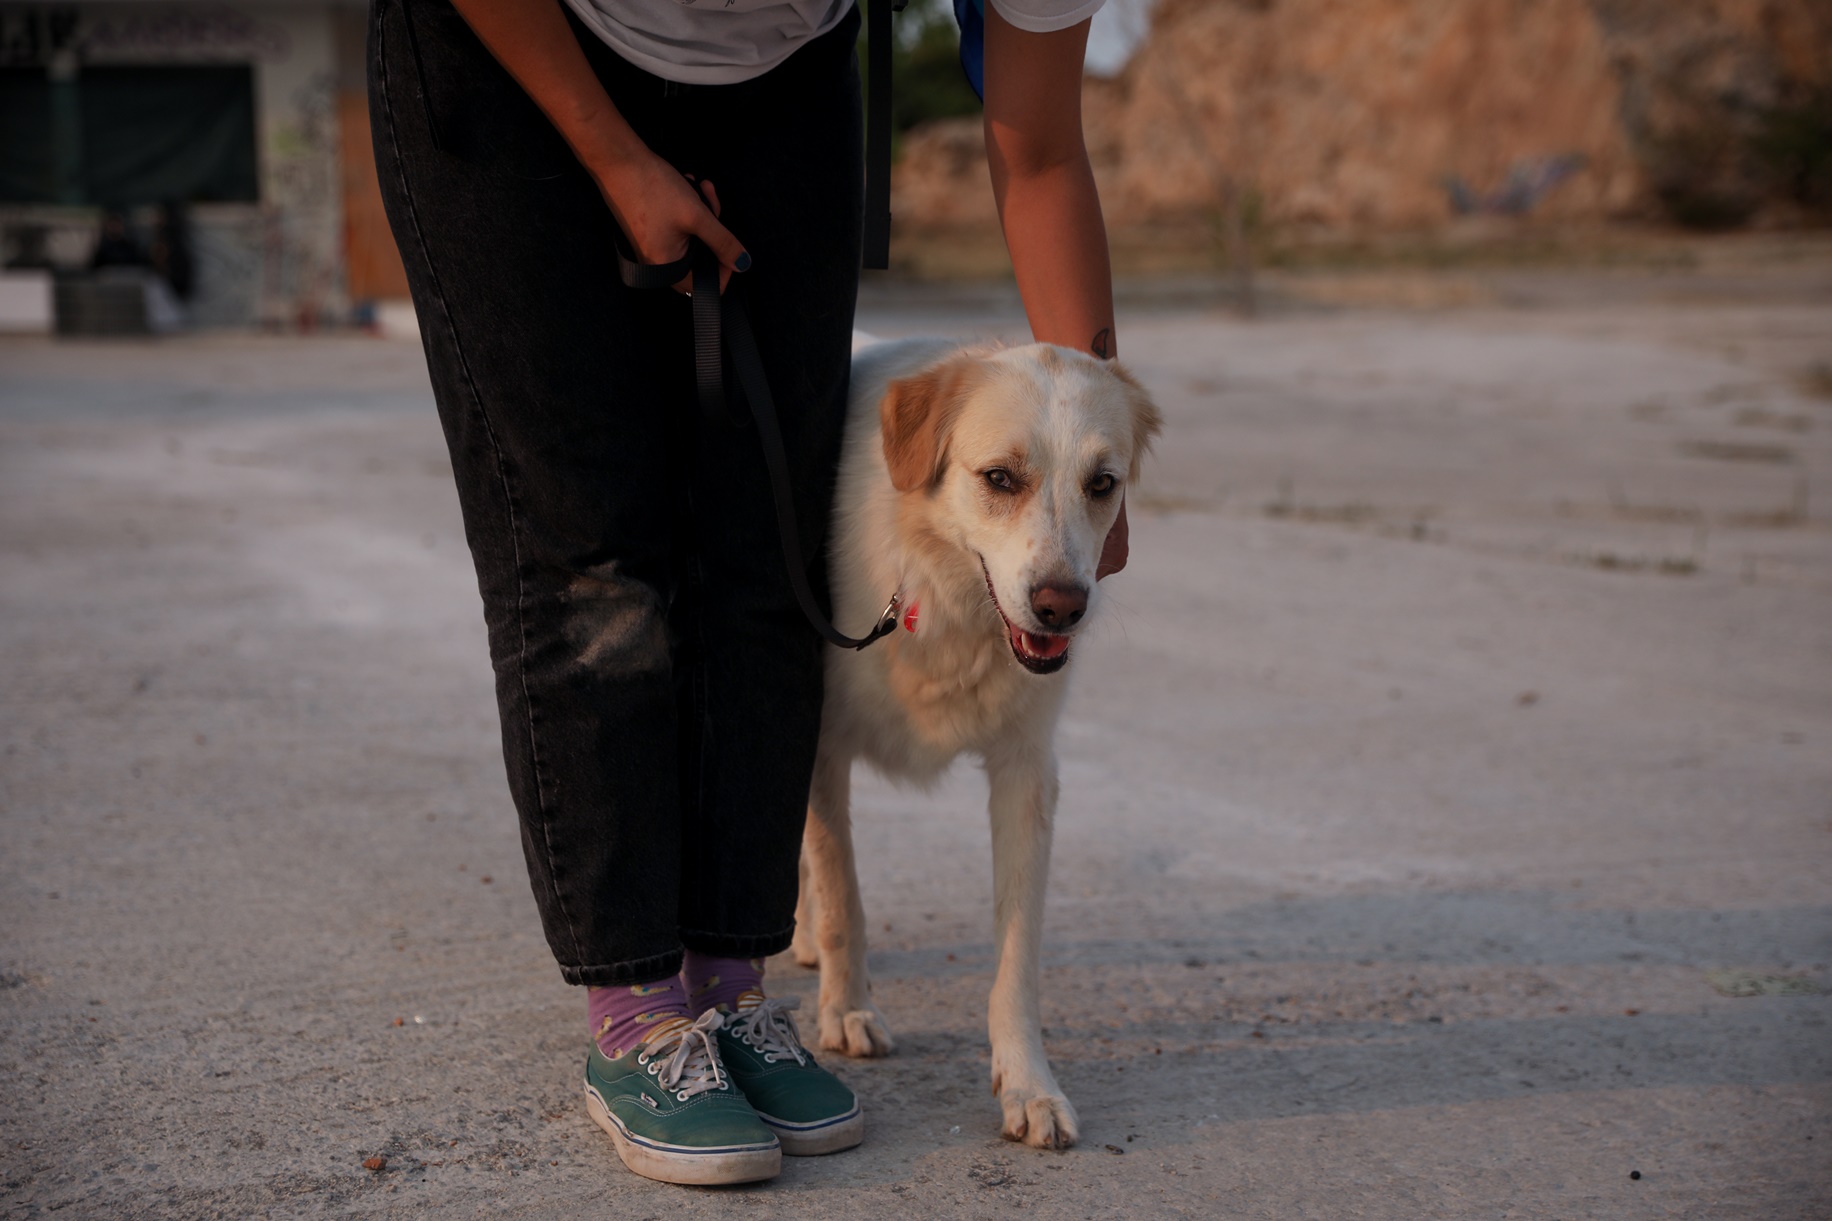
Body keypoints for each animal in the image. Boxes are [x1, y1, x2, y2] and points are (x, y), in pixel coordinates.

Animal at [787, 337, 1157, 1144]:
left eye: (1102, 484)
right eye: (999, 479)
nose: (1062, 607)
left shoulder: (1027, 774)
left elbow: (1016, 957)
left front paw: (1029, 1084)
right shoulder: (822, 747)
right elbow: (842, 895)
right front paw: (847, 1008)